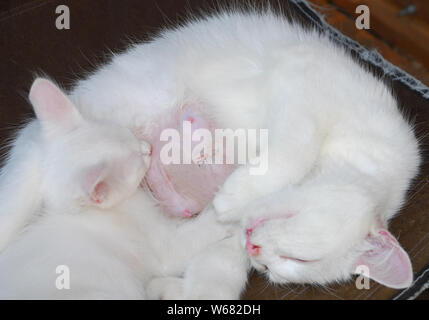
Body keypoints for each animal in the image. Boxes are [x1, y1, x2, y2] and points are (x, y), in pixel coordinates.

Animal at [0, 9, 420, 292]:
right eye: (300, 258)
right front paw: (235, 195)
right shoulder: (302, 84)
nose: (255, 247)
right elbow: (294, 148)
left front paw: (175, 288)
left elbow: (214, 274)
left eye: (278, 268)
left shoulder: (222, 249)